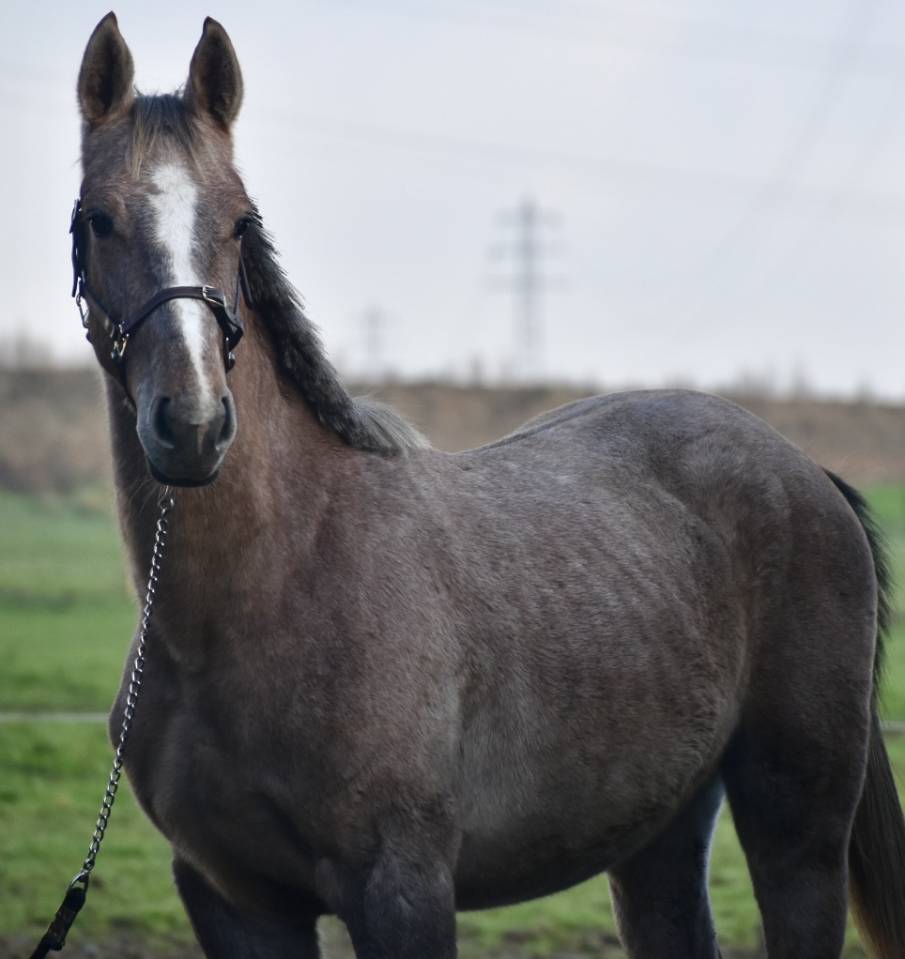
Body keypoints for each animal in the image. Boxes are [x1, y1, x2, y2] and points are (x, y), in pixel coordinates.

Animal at [72, 13, 905, 959]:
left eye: (241, 222)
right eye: (99, 219)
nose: (193, 422)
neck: (276, 582)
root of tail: (806, 474)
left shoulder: (401, 890)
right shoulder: (234, 900)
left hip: (797, 825)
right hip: (656, 829)